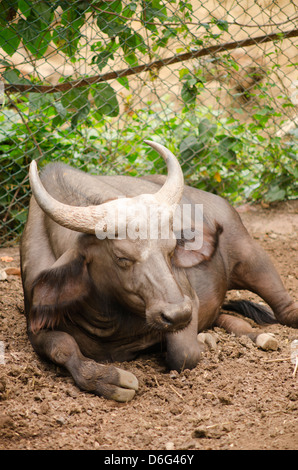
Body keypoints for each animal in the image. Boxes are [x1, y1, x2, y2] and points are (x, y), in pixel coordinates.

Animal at [19, 141, 296, 402]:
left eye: (171, 249)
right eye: (121, 257)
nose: (178, 314)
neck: (110, 318)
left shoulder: (189, 300)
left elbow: (184, 354)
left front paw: (201, 342)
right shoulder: (37, 329)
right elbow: (63, 348)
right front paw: (109, 380)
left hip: (250, 254)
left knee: (284, 308)